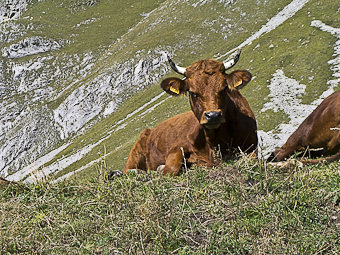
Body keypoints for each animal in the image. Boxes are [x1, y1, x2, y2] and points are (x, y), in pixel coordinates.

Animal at [125, 51, 258, 175]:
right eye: (192, 92)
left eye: (224, 88)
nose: (213, 116)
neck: (216, 142)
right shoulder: (178, 146)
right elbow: (171, 168)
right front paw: (161, 168)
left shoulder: (252, 146)